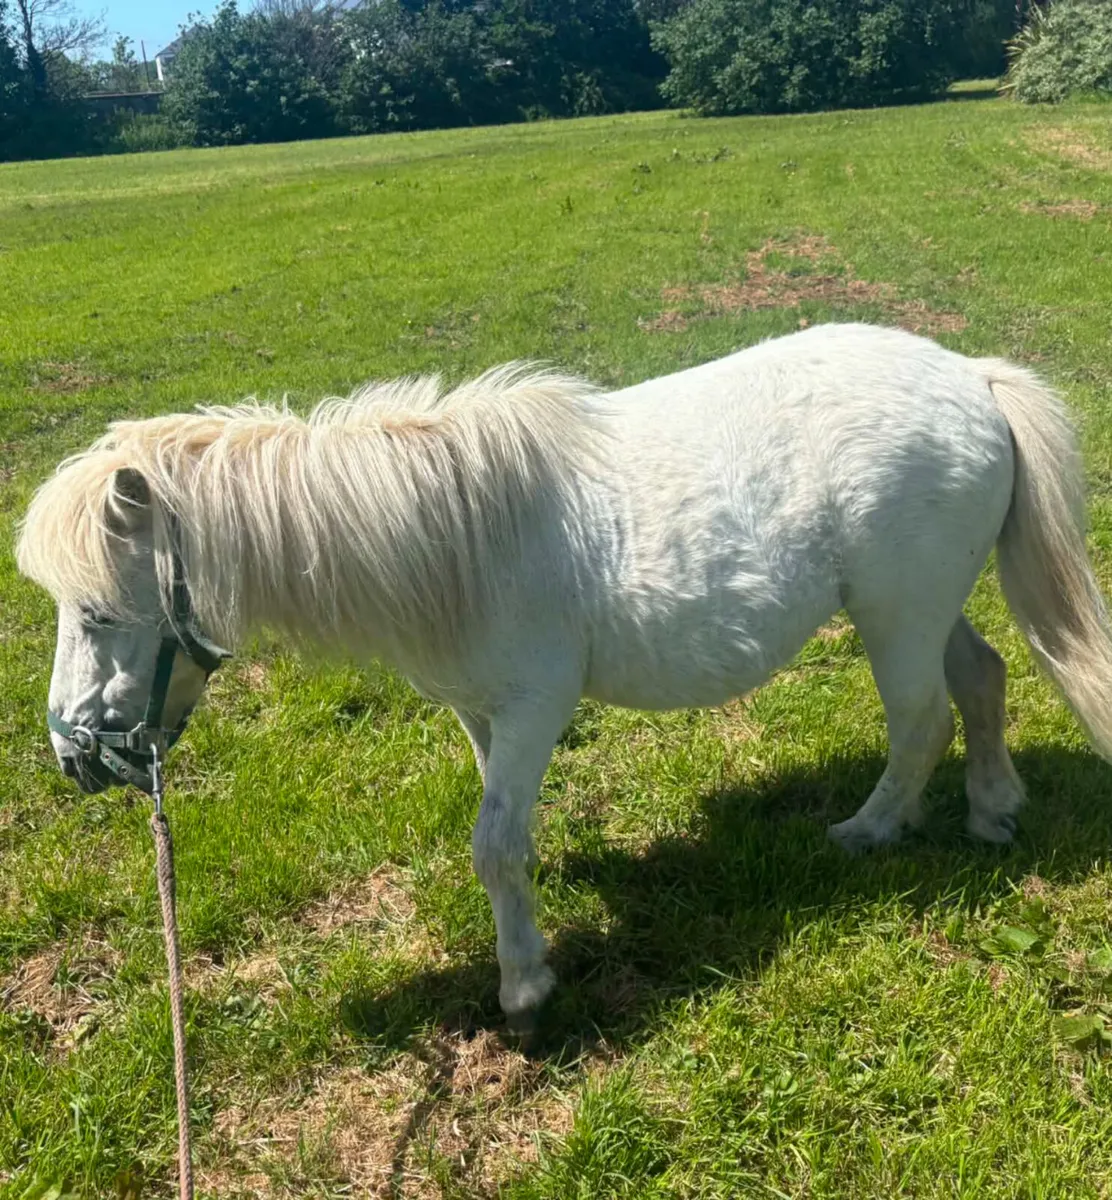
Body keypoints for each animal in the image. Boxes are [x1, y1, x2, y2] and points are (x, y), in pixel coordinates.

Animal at [17, 322, 1112, 1028]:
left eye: (99, 614)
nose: (73, 755)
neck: (450, 535)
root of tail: (970, 378)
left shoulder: (535, 707)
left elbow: (494, 842)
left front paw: (523, 985)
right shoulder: (481, 714)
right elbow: (503, 827)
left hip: (895, 615)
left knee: (923, 719)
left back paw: (871, 830)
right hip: (920, 605)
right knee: (979, 680)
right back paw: (991, 810)